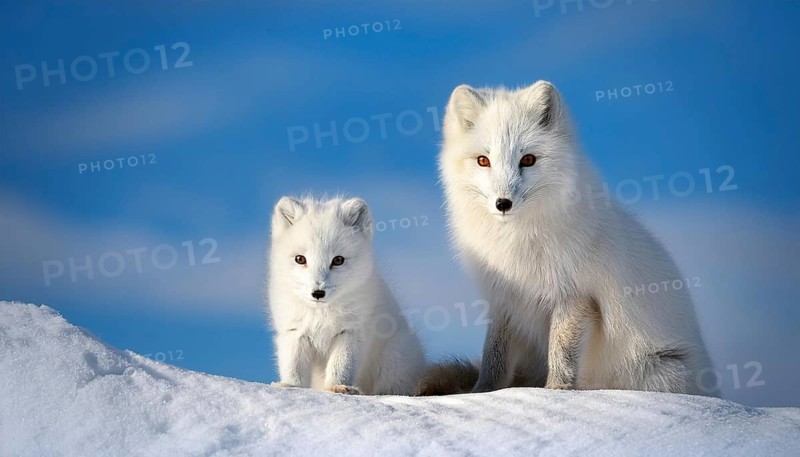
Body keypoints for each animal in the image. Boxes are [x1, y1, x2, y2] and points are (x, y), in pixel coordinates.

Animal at [267, 196, 426, 395]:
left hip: (395, 359)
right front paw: (290, 386)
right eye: (300, 259)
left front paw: (338, 387)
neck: (321, 314)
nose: (318, 293)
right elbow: (293, 366)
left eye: (338, 260)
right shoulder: (295, 331)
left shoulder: (350, 332)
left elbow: (341, 365)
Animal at [418, 81, 715, 396]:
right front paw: (481, 393)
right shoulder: (505, 300)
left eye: (528, 159)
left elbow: (561, 354)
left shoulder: (574, 295)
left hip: (662, 372)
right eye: (483, 160)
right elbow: (493, 359)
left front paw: (556, 391)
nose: (503, 203)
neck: (517, 240)